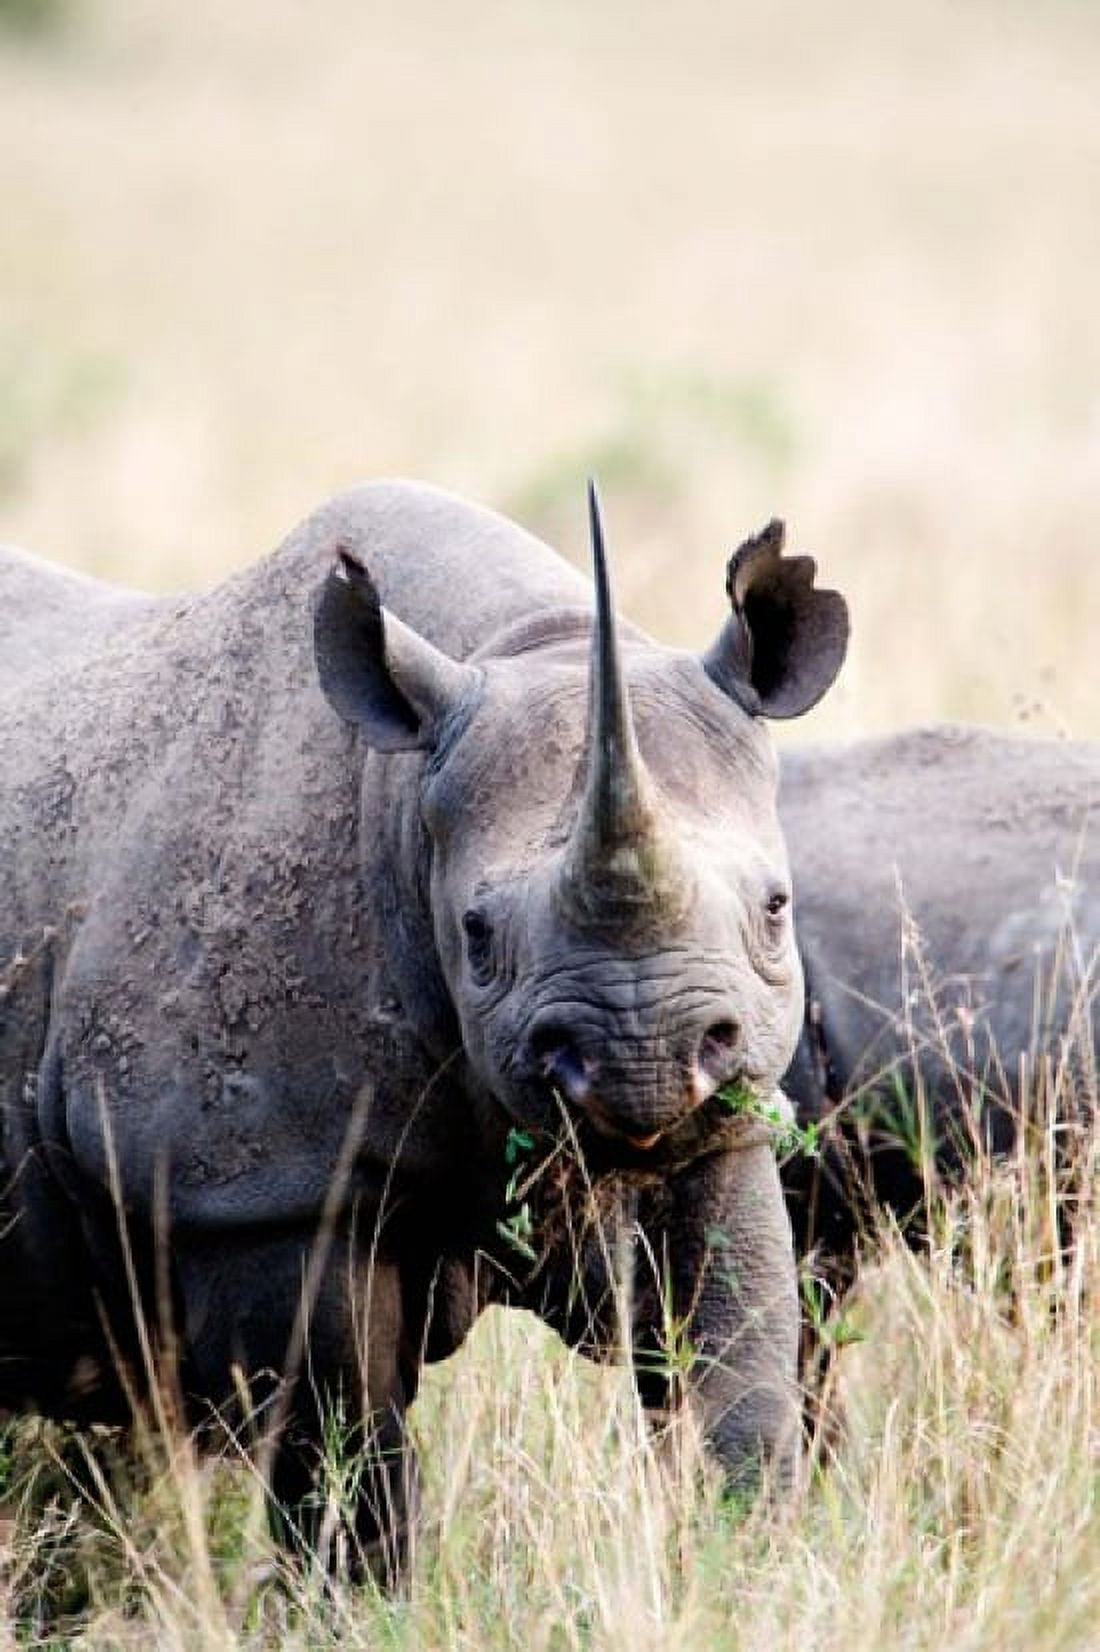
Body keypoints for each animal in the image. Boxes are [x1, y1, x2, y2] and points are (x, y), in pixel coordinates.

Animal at [0, 480, 848, 1574]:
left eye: (777, 909)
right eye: (476, 936)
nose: (642, 1054)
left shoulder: (730, 1117)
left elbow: (733, 1382)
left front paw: (743, 1571)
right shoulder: (261, 1185)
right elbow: (341, 1448)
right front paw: (362, 1600)